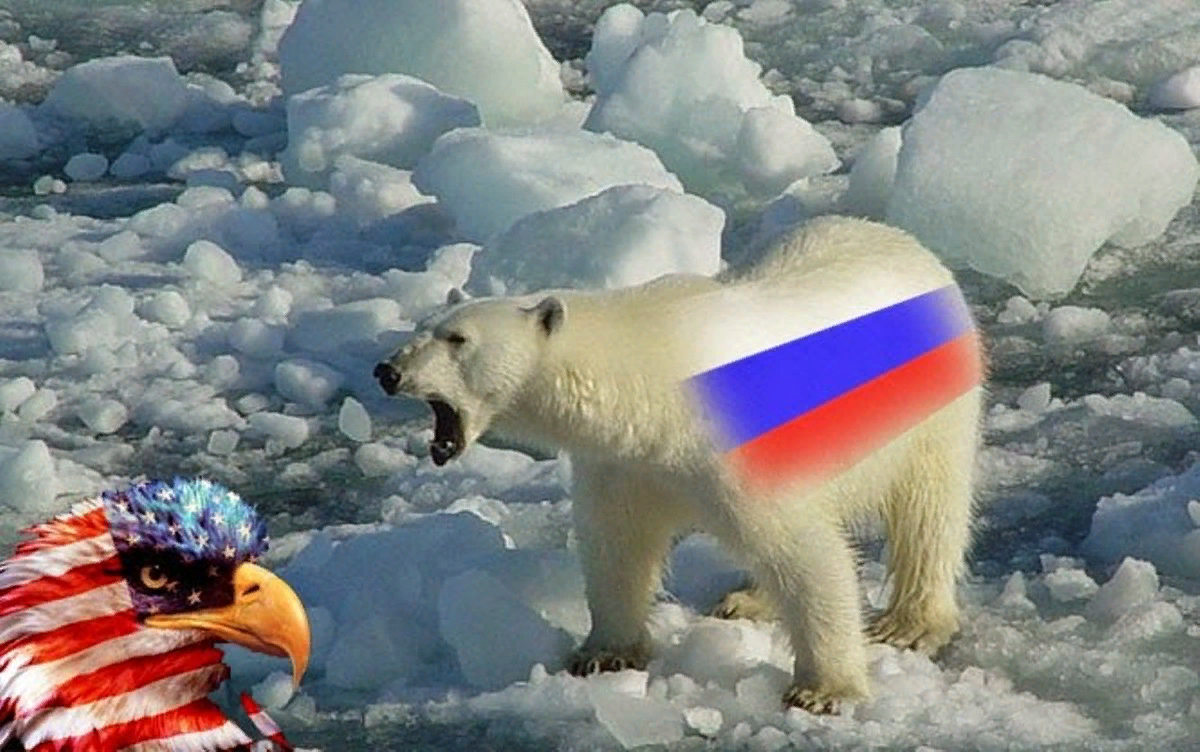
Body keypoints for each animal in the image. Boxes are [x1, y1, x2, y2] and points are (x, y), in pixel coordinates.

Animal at [374, 216, 984, 713]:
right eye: (424, 328)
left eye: (457, 339)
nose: (387, 370)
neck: (654, 392)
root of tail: (910, 244)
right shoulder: (624, 463)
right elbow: (616, 546)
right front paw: (604, 654)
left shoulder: (735, 448)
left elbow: (808, 555)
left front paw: (823, 691)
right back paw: (746, 600)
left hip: (933, 404)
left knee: (930, 508)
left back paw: (911, 624)